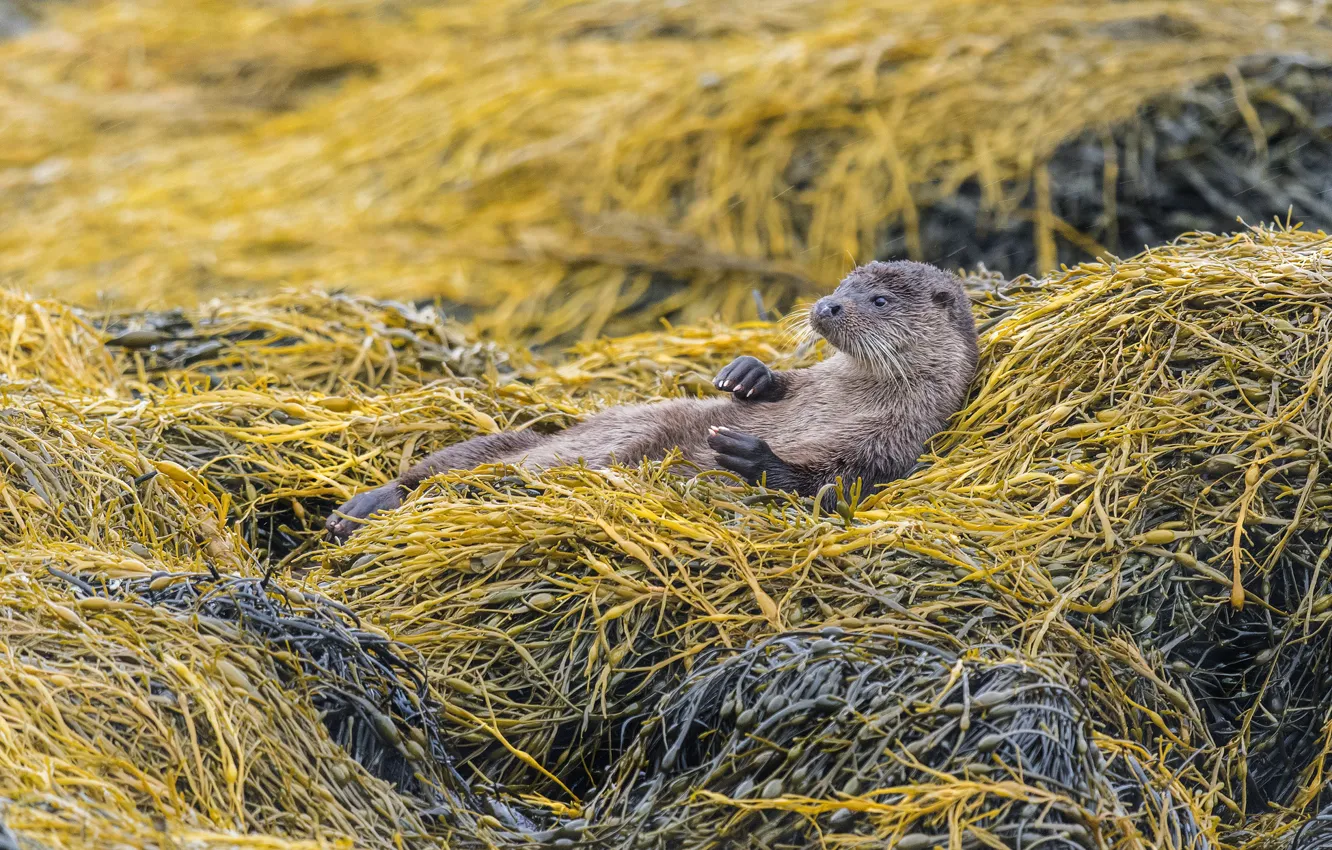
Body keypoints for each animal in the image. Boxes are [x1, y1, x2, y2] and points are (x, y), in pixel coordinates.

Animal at [326, 260, 978, 541]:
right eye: (843, 284)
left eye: (878, 300)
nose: (826, 305)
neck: (849, 395)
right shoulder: (814, 384)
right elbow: (780, 384)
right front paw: (748, 374)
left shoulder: (892, 445)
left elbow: (830, 486)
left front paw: (752, 455)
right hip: (542, 438)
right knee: (442, 467)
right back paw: (364, 505)